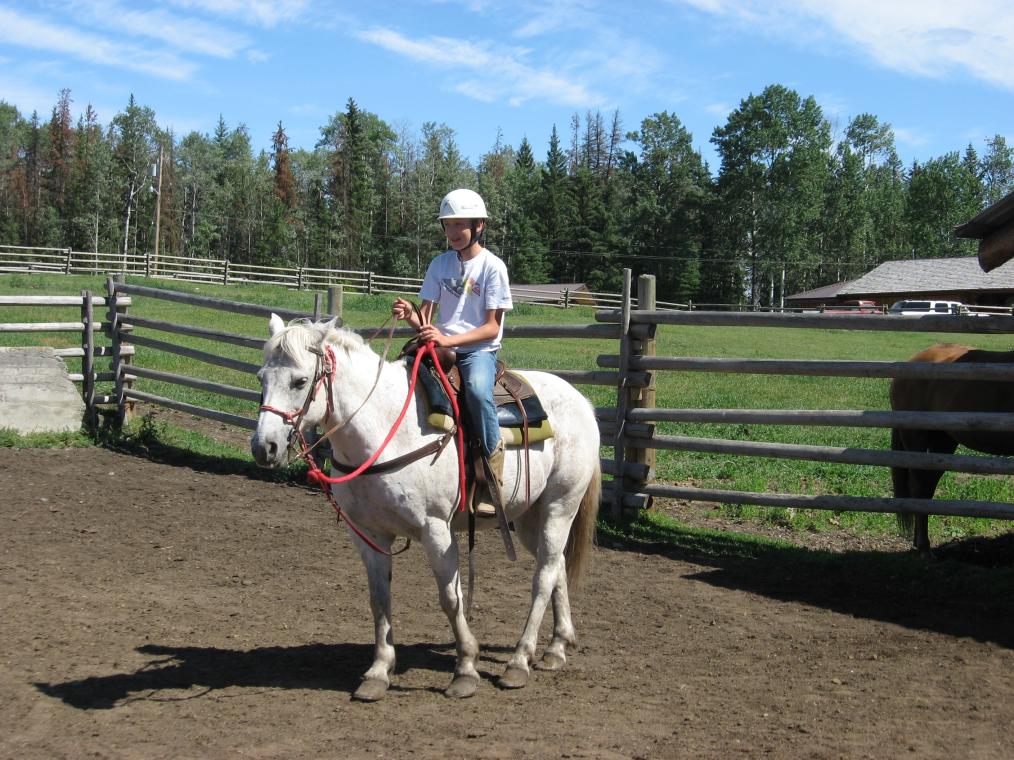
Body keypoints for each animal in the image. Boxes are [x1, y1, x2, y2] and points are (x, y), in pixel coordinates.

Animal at [250, 315, 601, 701]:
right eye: (261, 378)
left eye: (300, 381)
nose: (264, 448)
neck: (386, 429)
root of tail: (581, 401)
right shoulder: (368, 534)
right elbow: (379, 598)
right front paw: (378, 672)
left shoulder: (436, 529)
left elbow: (451, 598)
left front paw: (465, 669)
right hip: (528, 516)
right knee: (555, 566)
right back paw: (556, 647)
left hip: (560, 505)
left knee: (543, 577)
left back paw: (519, 661)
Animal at [890, 343, 1014, 552]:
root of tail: (912, 360)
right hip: (916, 439)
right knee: (919, 488)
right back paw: (923, 547)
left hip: (943, 441)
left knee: (927, 487)